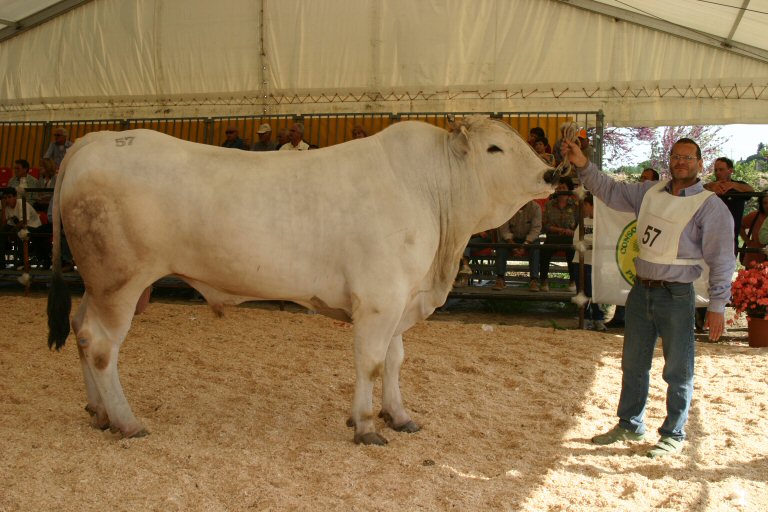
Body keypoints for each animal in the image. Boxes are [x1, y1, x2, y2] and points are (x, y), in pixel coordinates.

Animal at [47, 116, 559, 445]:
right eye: (495, 148)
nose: (552, 171)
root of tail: (97, 139)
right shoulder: (379, 298)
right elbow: (372, 362)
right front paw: (366, 426)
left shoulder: (400, 299)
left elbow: (395, 361)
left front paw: (398, 416)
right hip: (120, 281)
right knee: (101, 344)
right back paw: (126, 422)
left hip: (97, 283)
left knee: (79, 329)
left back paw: (98, 412)